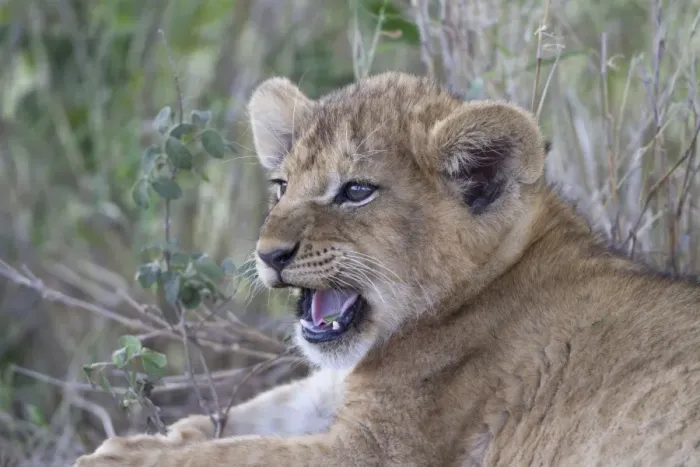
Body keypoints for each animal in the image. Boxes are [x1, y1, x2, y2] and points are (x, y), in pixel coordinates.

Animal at [75, 72, 700, 467]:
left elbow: (243, 454)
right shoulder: (339, 390)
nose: (268, 254)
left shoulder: (379, 451)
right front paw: (140, 442)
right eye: (281, 186)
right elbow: (255, 414)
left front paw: (124, 458)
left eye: (355, 191)